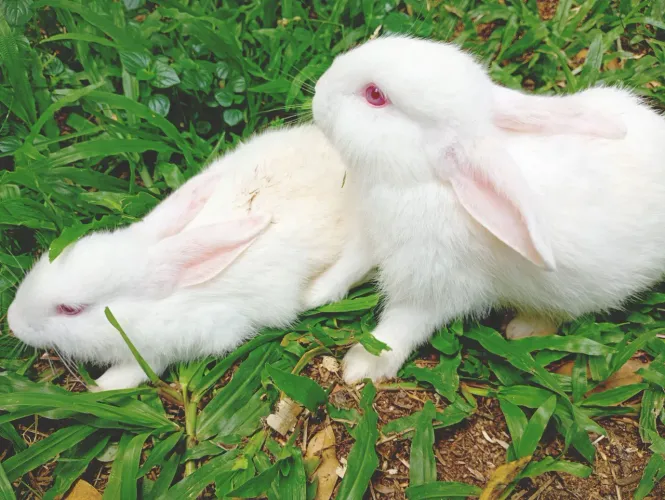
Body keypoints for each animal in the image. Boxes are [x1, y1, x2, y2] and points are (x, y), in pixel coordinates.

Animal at [311, 34, 665, 384]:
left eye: (375, 95)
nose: (317, 91)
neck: (424, 183)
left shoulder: (436, 286)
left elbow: (401, 325)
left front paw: (362, 365)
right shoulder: (369, 240)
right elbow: (347, 269)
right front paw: (313, 293)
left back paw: (525, 328)